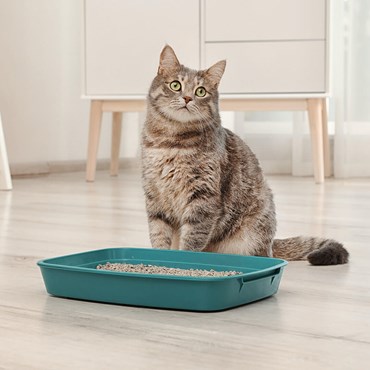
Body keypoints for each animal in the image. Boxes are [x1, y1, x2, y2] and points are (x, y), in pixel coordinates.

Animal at [140, 45, 348, 266]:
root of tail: (271, 244)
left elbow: (192, 240)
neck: (171, 142)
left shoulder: (203, 198)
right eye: (175, 85)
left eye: (200, 91)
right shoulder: (155, 198)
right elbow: (158, 235)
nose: (187, 98)